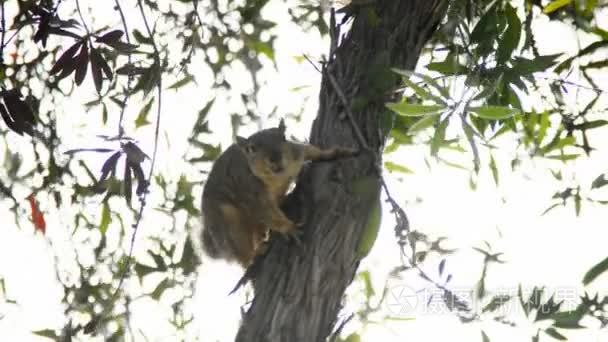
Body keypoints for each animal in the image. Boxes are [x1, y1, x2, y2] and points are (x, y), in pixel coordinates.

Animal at [202, 120, 358, 268]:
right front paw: (289, 228)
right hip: (229, 224)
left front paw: (335, 152)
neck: (277, 177)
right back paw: (255, 253)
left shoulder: (297, 152)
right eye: (251, 149)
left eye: (283, 137)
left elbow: (312, 150)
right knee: (243, 257)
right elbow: (267, 213)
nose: (275, 157)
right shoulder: (250, 192)